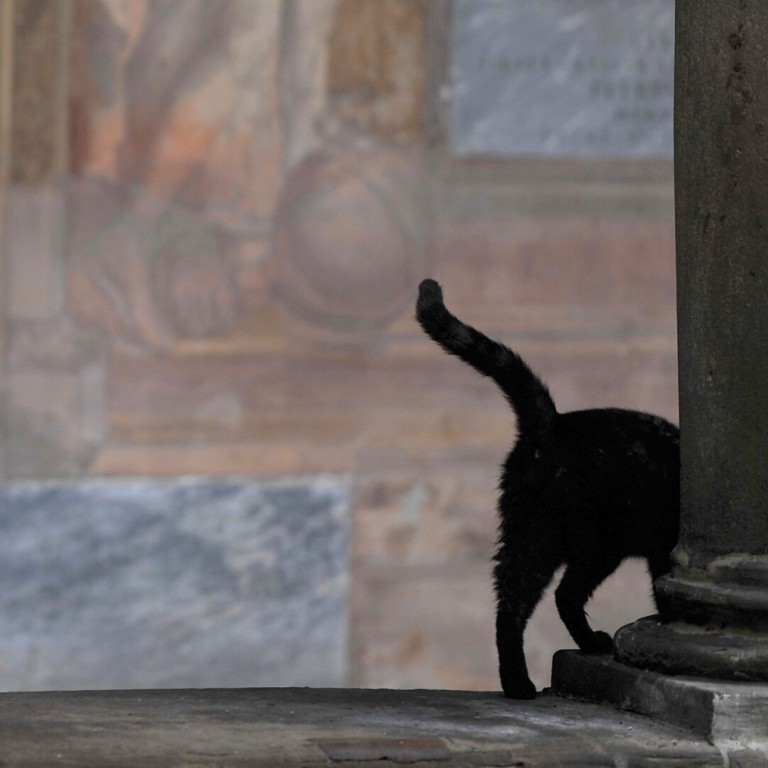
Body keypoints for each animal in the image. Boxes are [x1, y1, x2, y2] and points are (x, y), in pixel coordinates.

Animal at [416, 280, 680, 700]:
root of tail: (551, 423)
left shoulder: (660, 554)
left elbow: (661, 588)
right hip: (586, 543)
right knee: (549, 598)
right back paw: (532, 676)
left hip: (533, 533)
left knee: (523, 598)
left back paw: (546, 665)